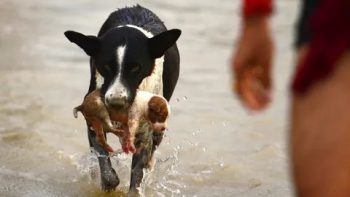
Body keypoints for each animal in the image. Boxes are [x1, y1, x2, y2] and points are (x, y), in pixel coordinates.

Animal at [64, 4, 182, 194]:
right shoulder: (93, 123)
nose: (116, 103)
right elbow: (104, 162)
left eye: (135, 68)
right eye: (106, 66)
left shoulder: (144, 135)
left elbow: (137, 174)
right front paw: (108, 183)